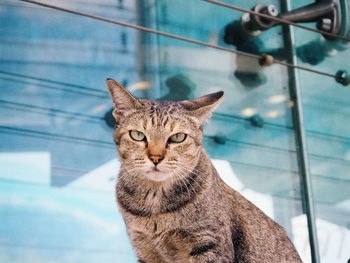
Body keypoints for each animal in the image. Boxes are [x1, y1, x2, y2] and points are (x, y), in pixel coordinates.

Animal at [106, 79, 300, 263]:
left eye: (177, 137)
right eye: (137, 135)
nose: (155, 157)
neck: (154, 205)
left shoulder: (208, 243)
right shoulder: (144, 248)